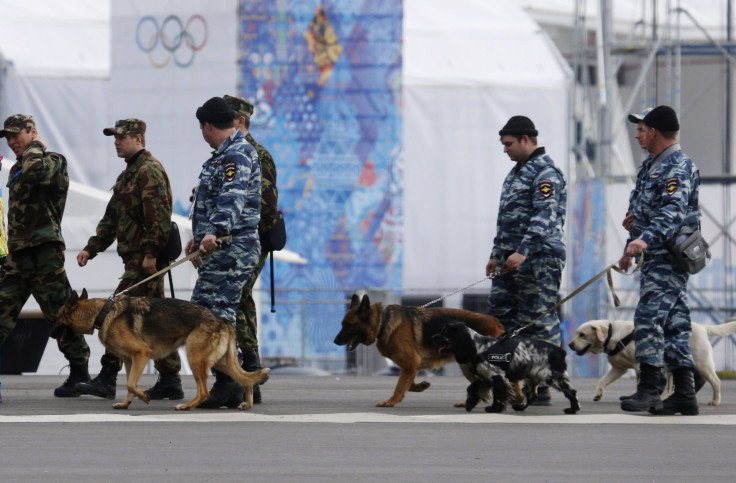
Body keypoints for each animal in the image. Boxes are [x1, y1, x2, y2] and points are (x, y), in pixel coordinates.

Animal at [54, 292, 268, 412]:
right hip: (220, 362)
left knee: (204, 391)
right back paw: (247, 403)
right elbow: (130, 385)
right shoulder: (131, 361)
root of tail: (223, 320)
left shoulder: (141, 354)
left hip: (195, 359)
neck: (103, 312)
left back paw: (187, 406)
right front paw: (126, 403)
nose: (50, 332)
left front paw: (143, 397)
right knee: (246, 380)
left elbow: (131, 384)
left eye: (57, 318)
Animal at [334, 294, 516, 408]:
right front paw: (420, 386)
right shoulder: (410, 366)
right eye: (342, 323)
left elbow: (400, 386)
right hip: (468, 366)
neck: (384, 322)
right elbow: (408, 384)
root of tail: (496, 322)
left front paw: (391, 401)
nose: (335, 341)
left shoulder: (410, 363)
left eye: (348, 325)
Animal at [432, 324, 580, 414]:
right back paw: (520, 407)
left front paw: (494, 409)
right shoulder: (484, 378)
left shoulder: (497, 376)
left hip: (555, 377)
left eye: (445, 333)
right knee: (532, 396)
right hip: (532, 379)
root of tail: (560, 351)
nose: (432, 337)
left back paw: (573, 409)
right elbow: (473, 389)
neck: (479, 348)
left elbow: (498, 395)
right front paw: (470, 403)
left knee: (571, 392)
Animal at [568, 320, 736, 406]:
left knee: (716, 382)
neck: (614, 335)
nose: (569, 344)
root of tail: (703, 326)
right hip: (672, 365)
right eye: (576, 333)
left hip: (702, 363)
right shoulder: (618, 368)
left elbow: (640, 382)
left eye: (582, 334)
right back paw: (663, 397)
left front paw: (637, 398)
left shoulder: (639, 365)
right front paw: (598, 394)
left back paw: (715, 400)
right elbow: (602, 380)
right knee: (670, 385)